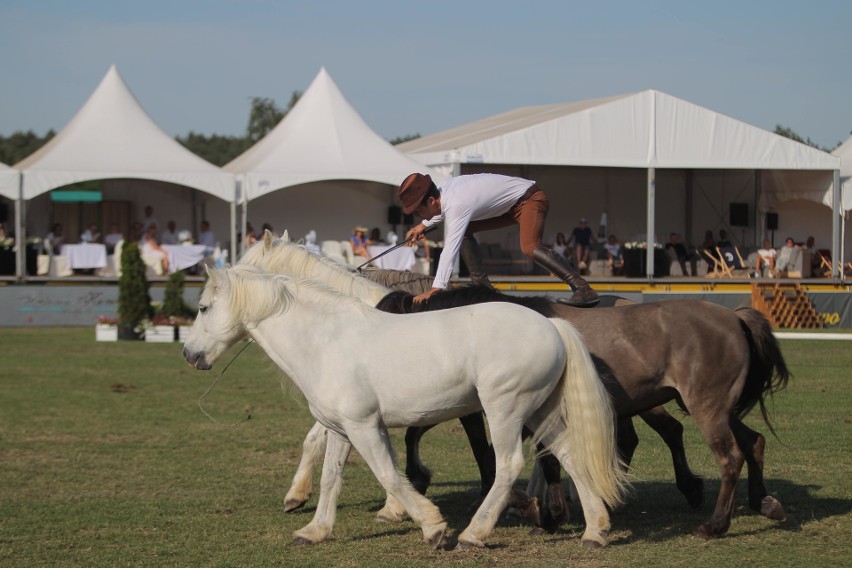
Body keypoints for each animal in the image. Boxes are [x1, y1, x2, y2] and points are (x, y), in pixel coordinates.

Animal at [185, 266, 624, 552]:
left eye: (204, 307)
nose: (189, 354)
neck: (326, 340)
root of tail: (553, 326)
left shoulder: (364, 428)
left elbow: (390, 476)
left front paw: (432, 527)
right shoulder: (342, 430)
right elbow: (331, 478)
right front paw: (314, 530)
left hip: (506, 411)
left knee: (508, 465)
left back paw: (474, 535)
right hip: (540, 412)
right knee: (569, 456)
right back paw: (595, 530)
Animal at [362, 272, 788, 540]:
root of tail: (733, 316)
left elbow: (522, 459)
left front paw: (543, 514)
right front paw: (549, 513)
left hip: (706, 407)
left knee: (729, 457)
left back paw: (715, 523)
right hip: (714, 407)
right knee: (753, 442)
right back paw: (762, 501)